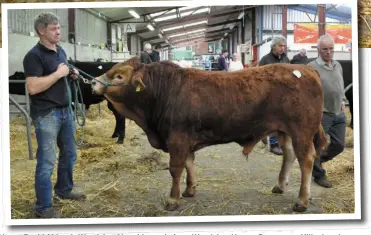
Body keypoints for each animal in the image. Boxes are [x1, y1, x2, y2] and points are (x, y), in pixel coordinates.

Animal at [91, 56, 326, 213]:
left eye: (119, 76)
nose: (92, 82)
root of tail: (305, 69)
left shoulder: (177, 138)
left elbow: (176, 169)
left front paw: (173, 200)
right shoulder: (184, 139)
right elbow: (189, 163)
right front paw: (189, 189)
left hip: (302, 130)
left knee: (306, 159)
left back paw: (302, 201)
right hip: (284, 130)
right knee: (289, 154)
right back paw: (279, 185)